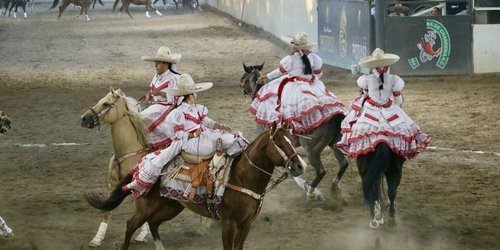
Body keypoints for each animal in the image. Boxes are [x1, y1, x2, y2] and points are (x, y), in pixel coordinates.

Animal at [80, 89, 152, 247]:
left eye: (106, 103)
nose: (83, 119)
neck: (126, 154)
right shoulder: (112, 185)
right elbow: (107, 210)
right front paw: (97, 238)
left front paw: (142, 235)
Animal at [84, 123, 304, 250]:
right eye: (281, 145)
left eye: (293, 141)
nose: (300, 166)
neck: (241, 178)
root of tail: (143, 161)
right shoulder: (228, 223)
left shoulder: (246, 224)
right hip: (146, 207)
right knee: (131, 225)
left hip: (171, 206)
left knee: (154, 224)